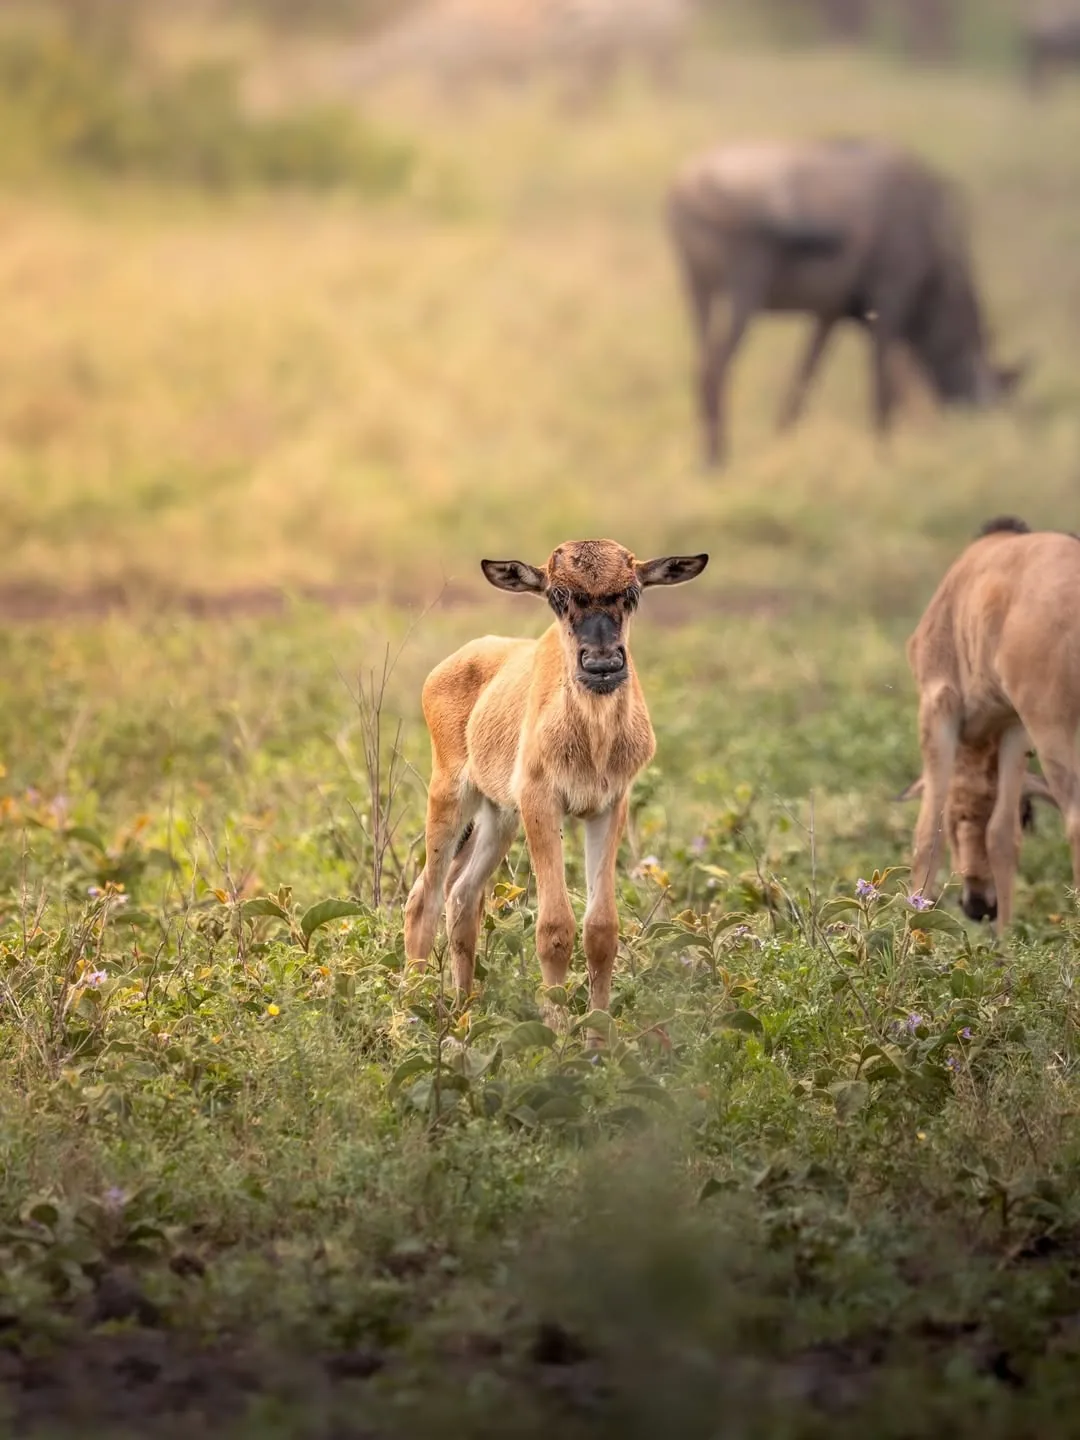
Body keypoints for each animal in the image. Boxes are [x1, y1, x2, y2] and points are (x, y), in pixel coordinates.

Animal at [403, 539, 708, 1022]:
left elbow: (601, 929)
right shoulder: (542, 803)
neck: (592, 737)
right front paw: (558, 1029)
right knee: (424, 898)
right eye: (557, 595)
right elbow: (554, 928)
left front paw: (598, 1033)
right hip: (452, 798)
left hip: (499, 818)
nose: (602, 664)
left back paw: (465, 1009)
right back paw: (410, 1012)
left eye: (632, 592)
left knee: (463, 896)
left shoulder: (608, 807)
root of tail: (452, 663)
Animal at [666, 139, 1026, 467]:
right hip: (743, 295)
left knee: (701, 365)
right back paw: (716, 459)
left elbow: (804, 380)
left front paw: (783, 441)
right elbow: (886, 386)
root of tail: (688, 185)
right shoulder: (890, 303)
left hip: (699, 293)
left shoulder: (831, 315)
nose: (978, 433)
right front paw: (884, 455)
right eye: (999, 391)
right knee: (715, 369)